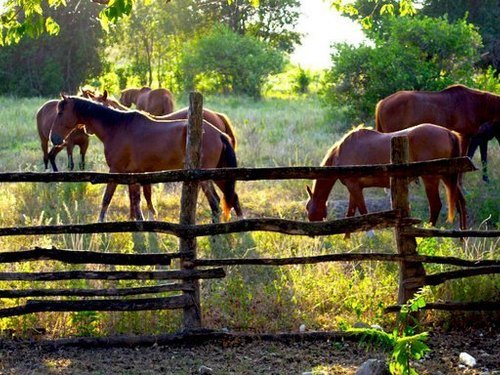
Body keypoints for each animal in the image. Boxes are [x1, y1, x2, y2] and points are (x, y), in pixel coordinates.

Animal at [49, 94, 242, 223]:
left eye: (60, 113)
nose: (54, 138)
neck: (118, 127)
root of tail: (219, 134)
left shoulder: (116, 171)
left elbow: (107, 199)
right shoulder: (133, 174)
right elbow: (137, 202)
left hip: (206, 177)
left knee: (216, 203)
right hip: (218, 174)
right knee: (232, 198)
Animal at [306, 125, 466, 234]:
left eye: (307, 208)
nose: (314, 234)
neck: (341, 152)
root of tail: (448, 133)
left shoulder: (354, 187)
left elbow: (363, 212)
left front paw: (370, 236)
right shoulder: (354, 188)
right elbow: (350, 213)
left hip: (431, 179)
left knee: (435, 205)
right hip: (448, 177)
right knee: (460, 202)